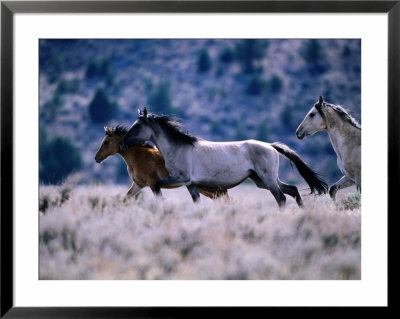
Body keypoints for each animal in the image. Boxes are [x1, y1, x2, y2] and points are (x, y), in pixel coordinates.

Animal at [94, 125, 228, 200]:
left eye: (106, 142)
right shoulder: (138, 184)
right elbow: (125, 198)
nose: (96, 158)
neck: (138, 157)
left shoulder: (153, 184)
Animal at [120, 109, 326, 209]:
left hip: (267, 179)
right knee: (292, 190)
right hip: (262, 180)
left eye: (137, 125)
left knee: (281, 197)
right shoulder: (191, 185)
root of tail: (271, 146)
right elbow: (196, 202)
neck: (178, 148)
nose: (122, 143)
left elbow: (156, 186)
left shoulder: (180, 179)